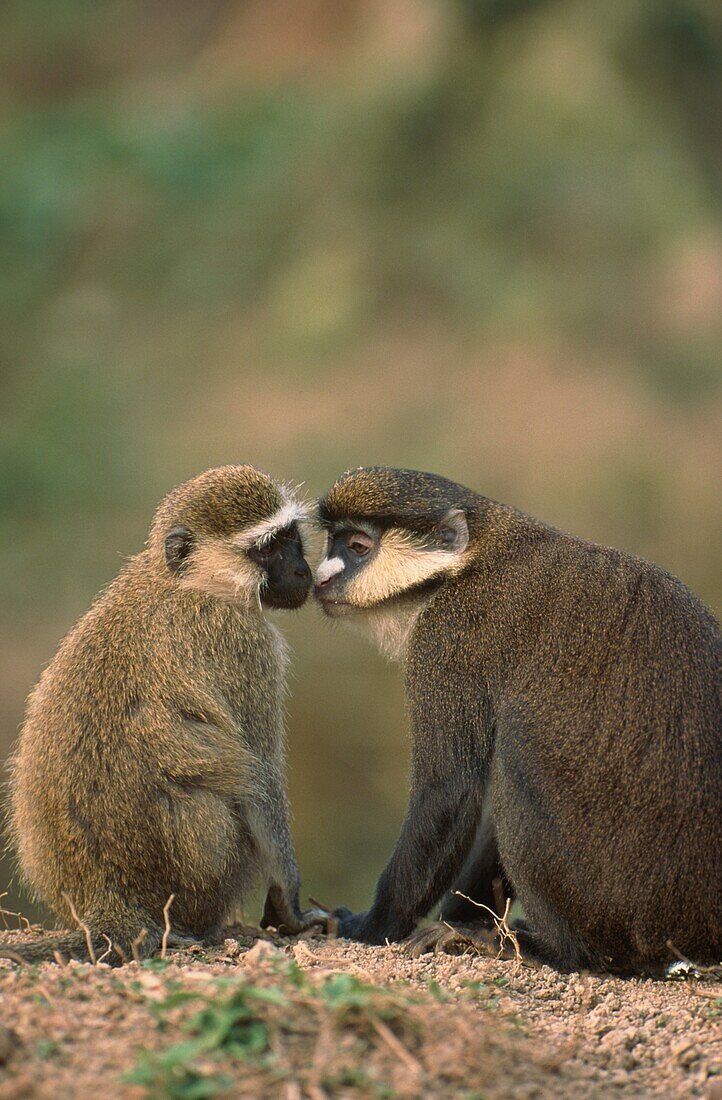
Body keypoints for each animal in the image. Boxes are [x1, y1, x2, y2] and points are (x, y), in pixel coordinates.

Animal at [5, 464, 323, 963]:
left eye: (290, 536)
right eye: (267, 549)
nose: (300, 570)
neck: (186, 583)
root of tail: (106, 907)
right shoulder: (248, 647)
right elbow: (262, 780)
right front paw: (288, 904)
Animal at [314, 464, 722, 972]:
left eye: (358, 547)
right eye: (332, 542)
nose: (320, 578)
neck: (468, 560)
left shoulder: (446, 639)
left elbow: (448, 792)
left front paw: (370, 927)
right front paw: (462, 917)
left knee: (520, 756)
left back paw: (554, 951)